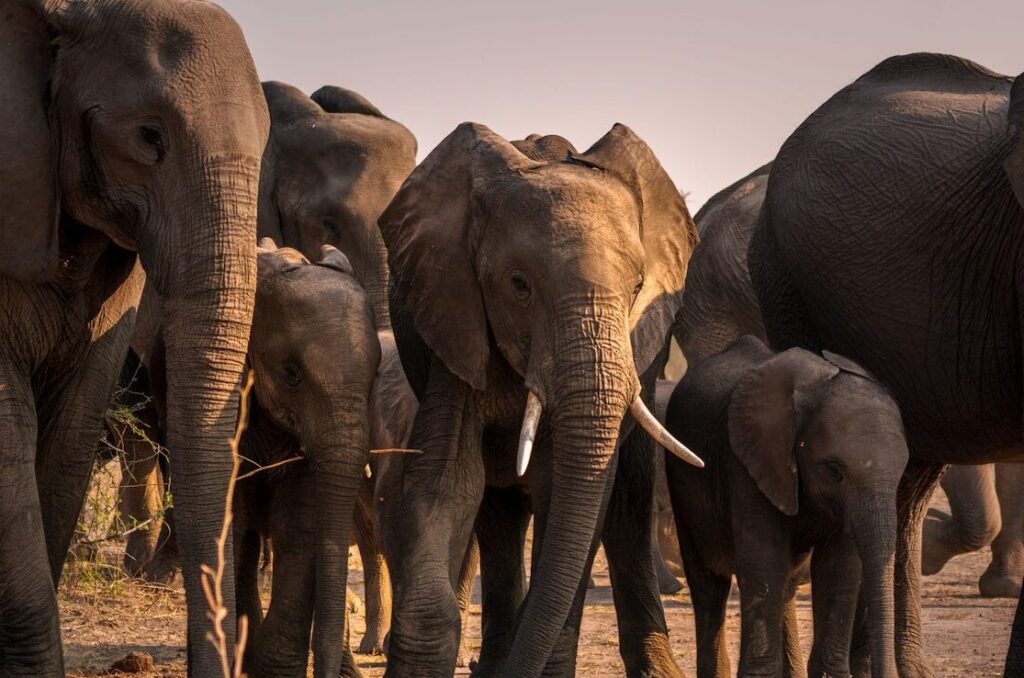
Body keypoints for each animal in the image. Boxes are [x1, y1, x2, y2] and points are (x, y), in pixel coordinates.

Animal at [378, 122, 703, 678]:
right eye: (519, 285)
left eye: (638, 286)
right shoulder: (454, 320)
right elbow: (448, 483)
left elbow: (567, 494)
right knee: (497, 513)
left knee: (627, 506)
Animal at [665, 335, 907, 678]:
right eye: (834, 471)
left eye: (903, 469)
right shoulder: (746, 461)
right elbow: (763, 562)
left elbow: (838, 568)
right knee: (709, 586)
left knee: (786, 581)